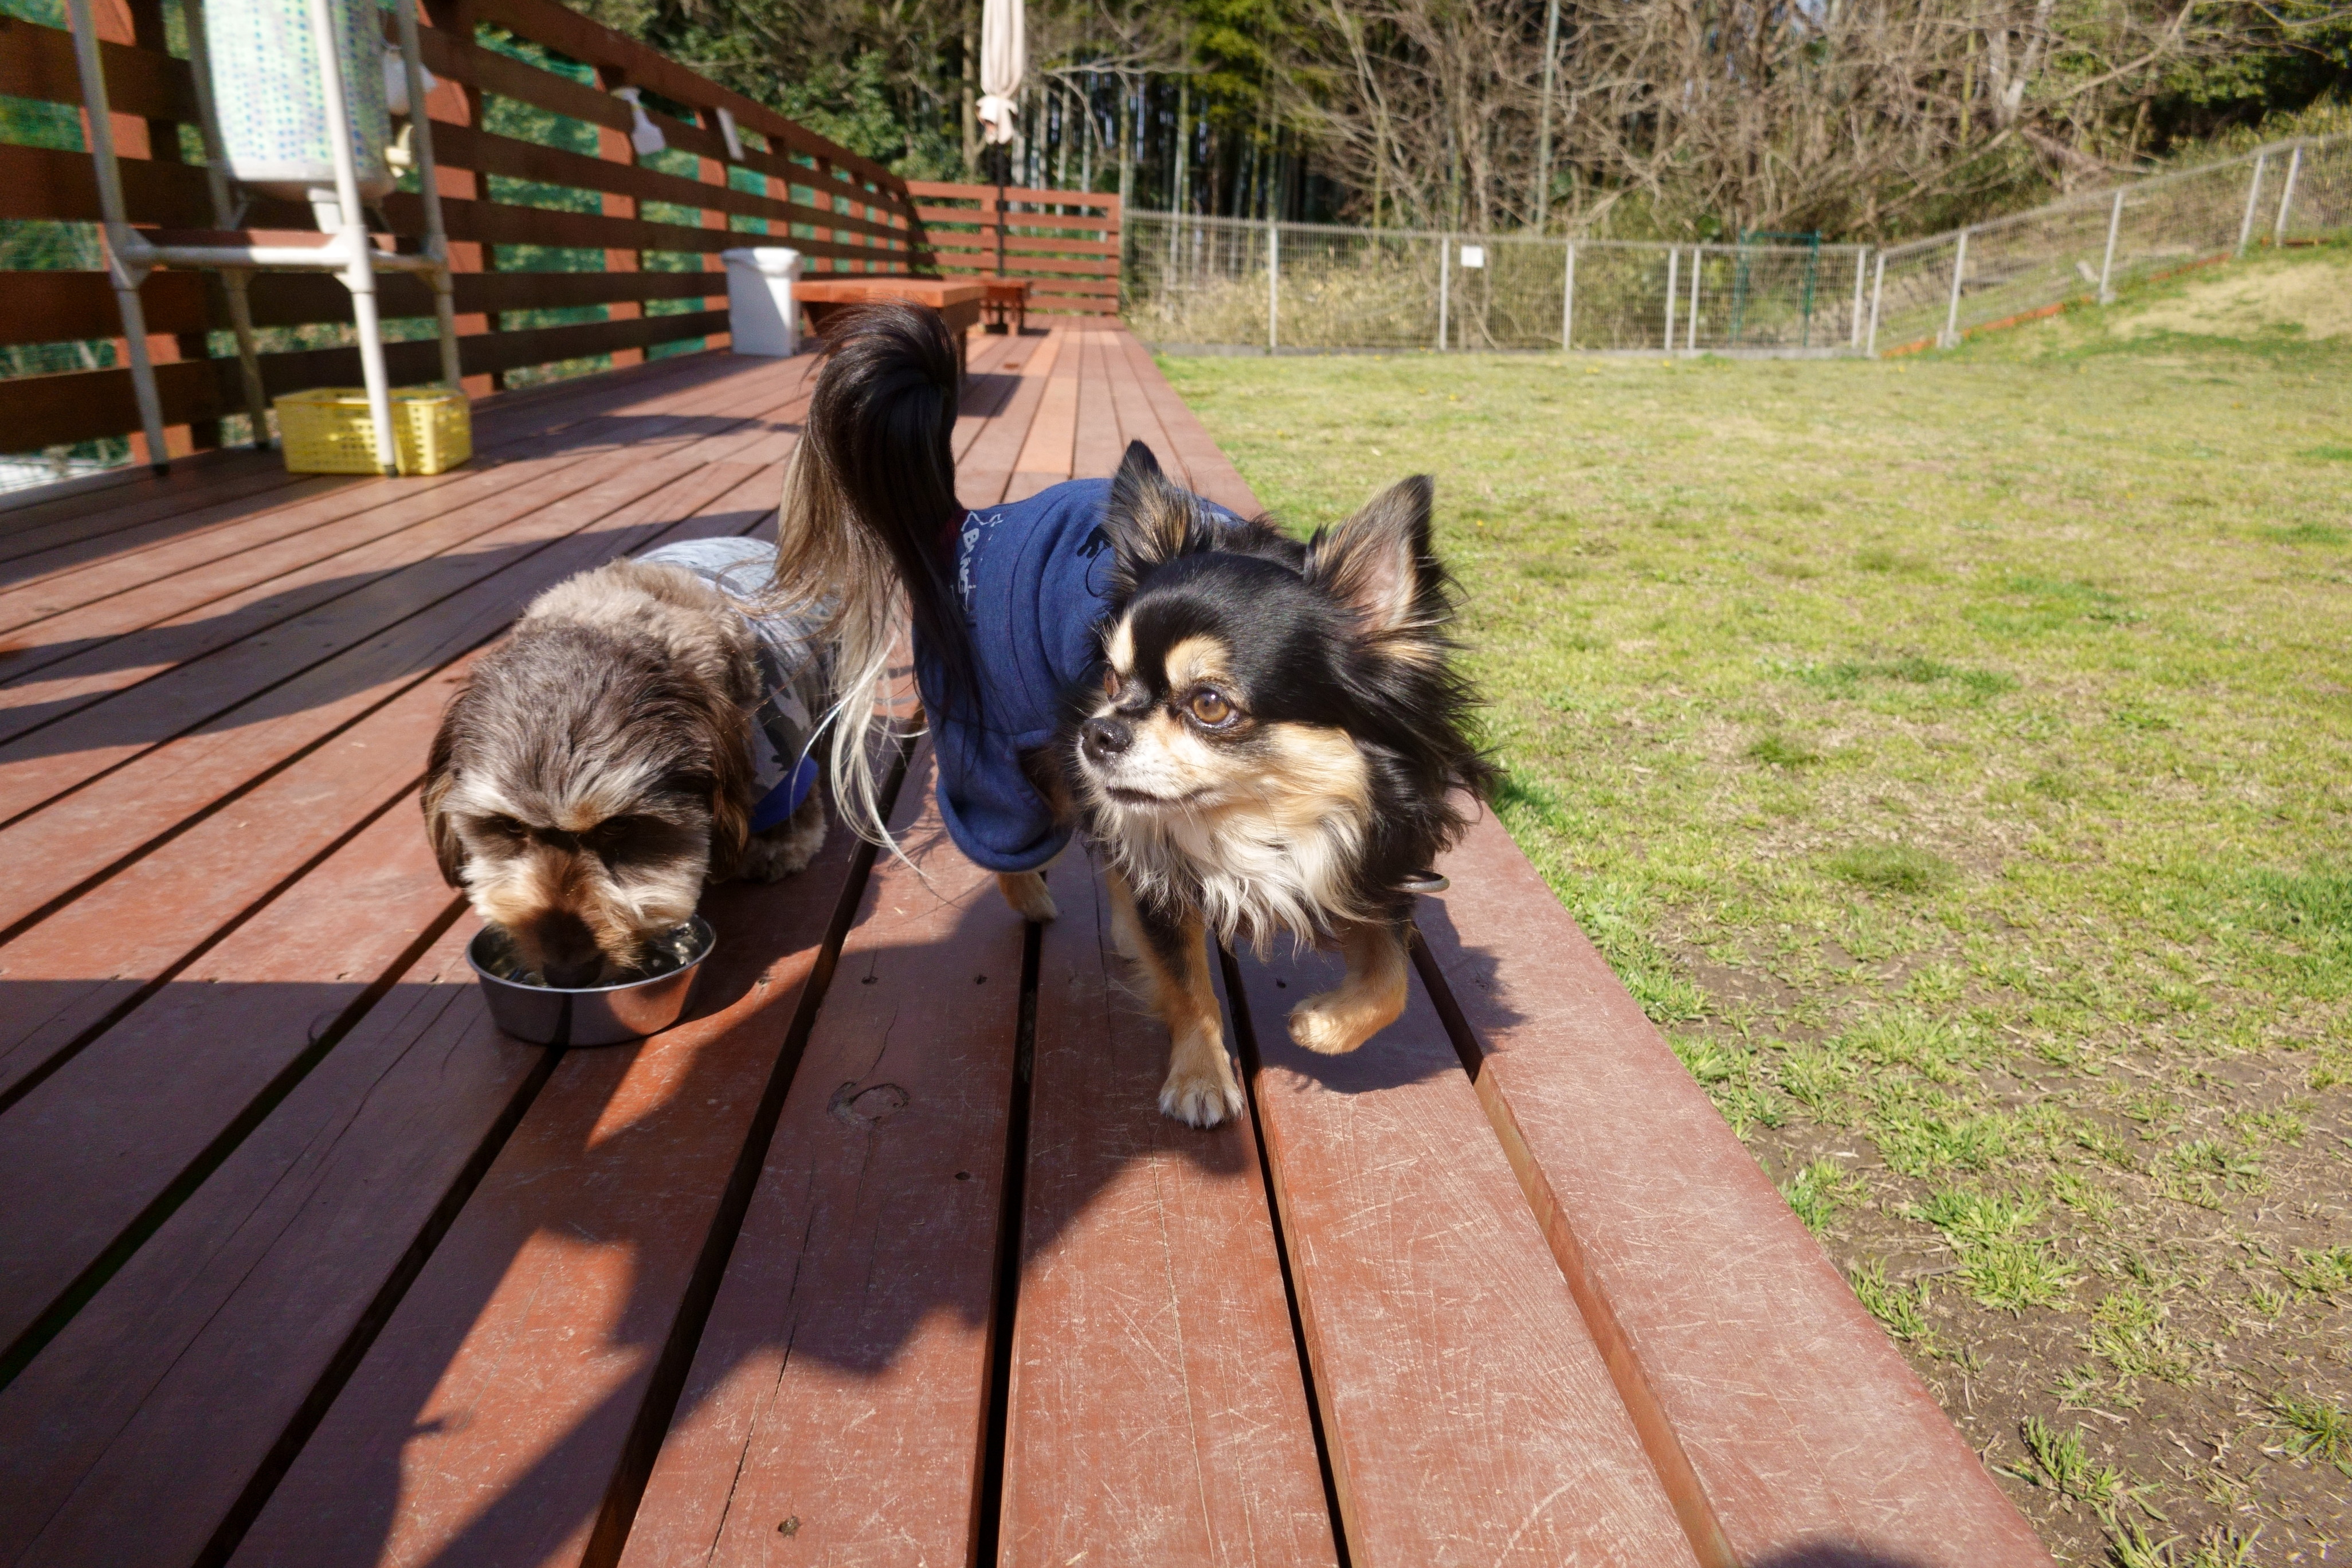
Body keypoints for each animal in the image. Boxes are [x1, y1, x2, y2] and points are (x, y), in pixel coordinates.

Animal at [423, 534, 828, 987]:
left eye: (618, 826)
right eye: (509, 826)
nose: (567, 974)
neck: (611, 617)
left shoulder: (781, 756)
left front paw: (780, 844)